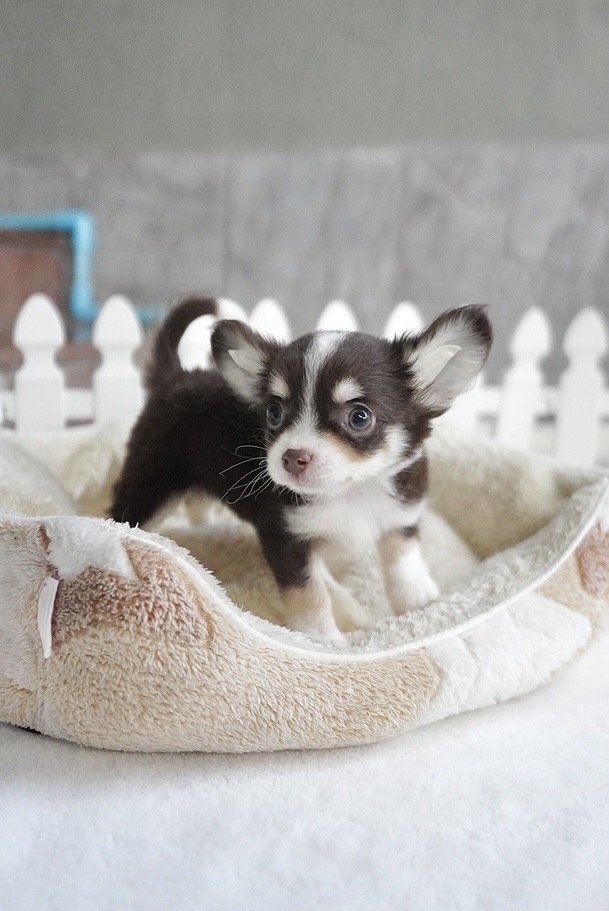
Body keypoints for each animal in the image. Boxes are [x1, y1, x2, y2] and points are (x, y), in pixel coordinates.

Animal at [111, 298, 492, 641]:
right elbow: (309, 592)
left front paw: (419, 602)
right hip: (149, 485)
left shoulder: (401, 517)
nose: (292, 457)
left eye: (359, 417)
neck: (351, 491)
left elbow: (403, 562)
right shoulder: (286, 539)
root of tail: (175, 377)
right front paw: (320, 638)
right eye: (273, 413)